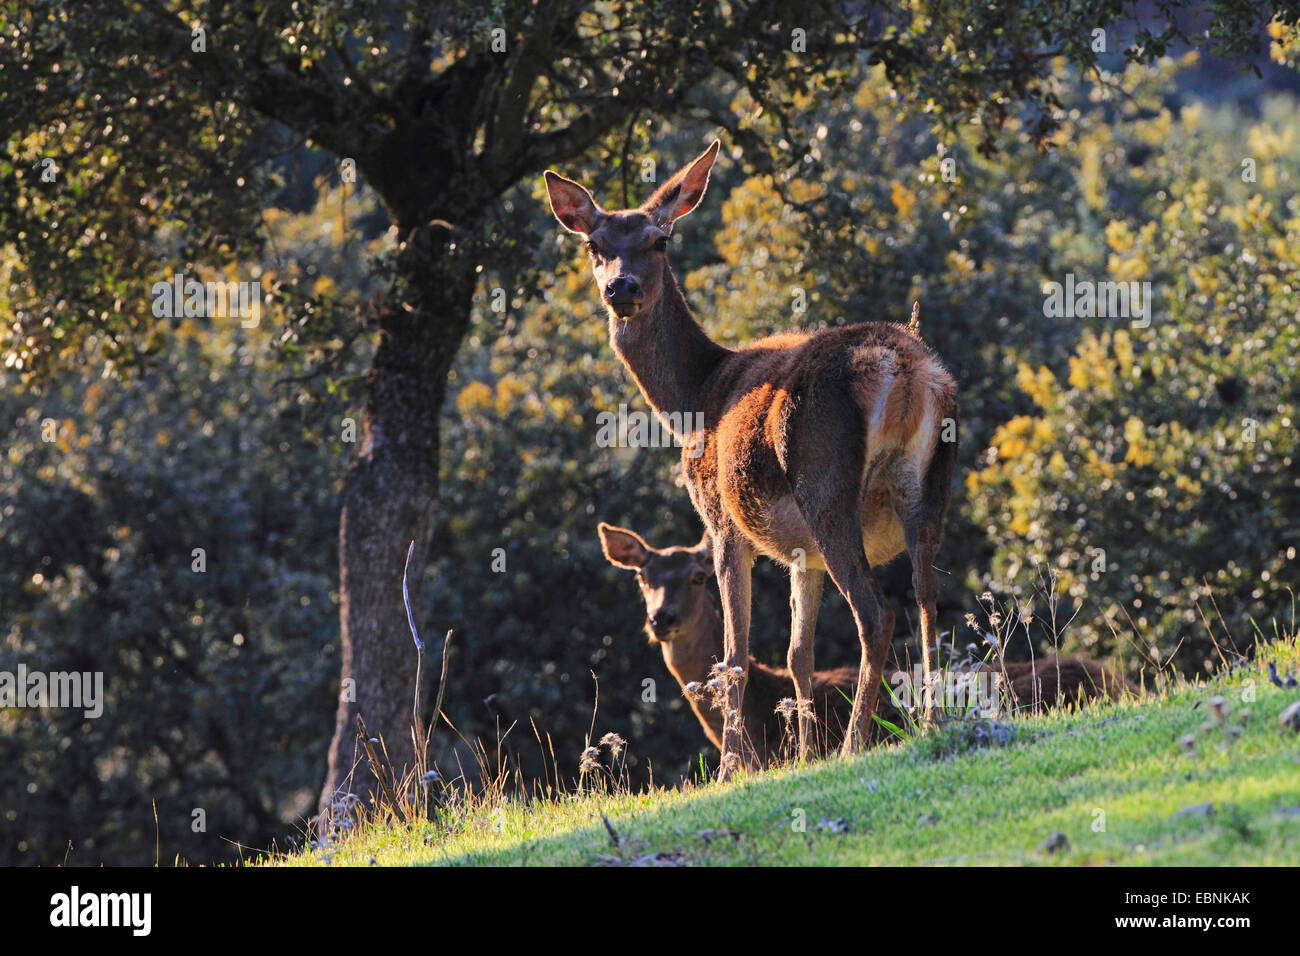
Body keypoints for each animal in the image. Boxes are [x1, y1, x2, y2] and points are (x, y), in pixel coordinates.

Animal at [543, 140, 961, 780]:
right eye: (595, 245)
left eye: (659, 240)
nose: (622, 288)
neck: (693, 400)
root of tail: (904, 368)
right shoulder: (800, 552)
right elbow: (797, 651)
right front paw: (804, 753)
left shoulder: (720, 519)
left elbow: (735, 651)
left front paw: (731, 769)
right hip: (928, 484)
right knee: (927, 596)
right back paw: (933, 722)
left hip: (824, 484)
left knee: (876, 612)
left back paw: (855, 743)